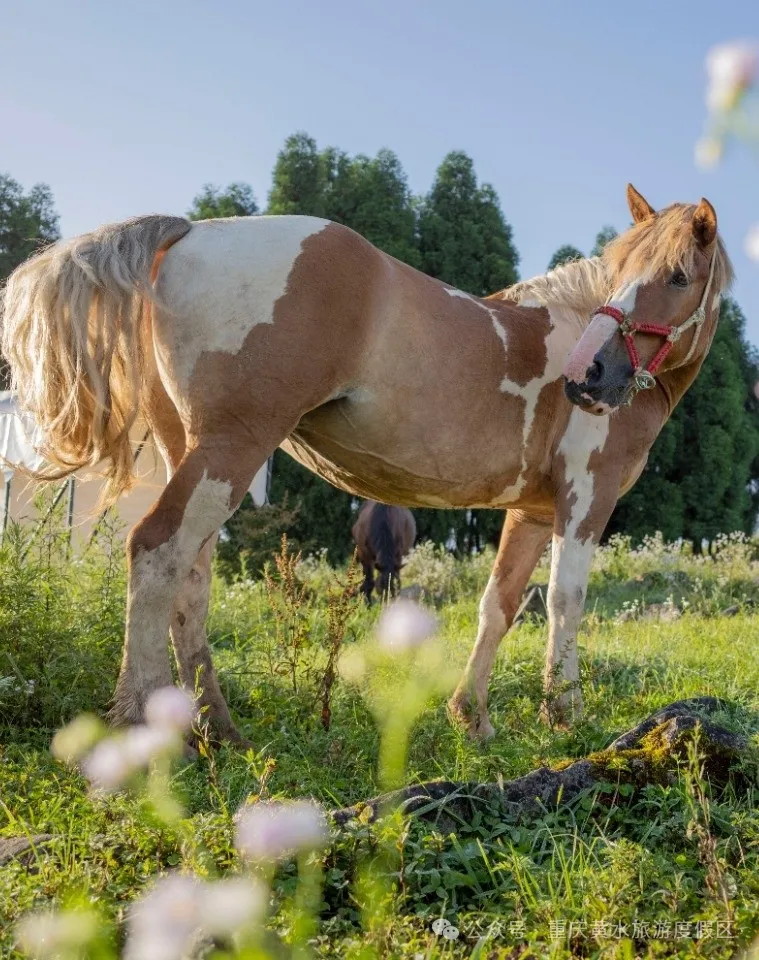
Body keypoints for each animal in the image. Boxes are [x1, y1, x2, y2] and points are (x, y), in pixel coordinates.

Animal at [1, 186, 736, 744]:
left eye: (676, 276)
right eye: (620, 273)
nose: (590, 375)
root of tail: (188, 234)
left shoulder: (529, 514)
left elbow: (498, 606)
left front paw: (471, 718)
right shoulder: (585, 503)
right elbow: (563, 601)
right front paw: (565, 714)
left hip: (196, 454)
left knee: (191, 578)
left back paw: (219, 728)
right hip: (230, 449)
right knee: (156, 551)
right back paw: (144, 726)